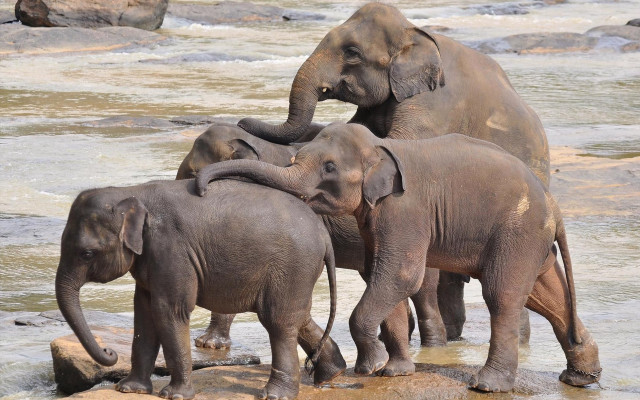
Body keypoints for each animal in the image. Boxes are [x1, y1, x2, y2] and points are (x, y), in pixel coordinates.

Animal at [55, 178, 346, 400]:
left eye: (87, 254)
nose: (109, 352)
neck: (132, 192)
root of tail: (323, 234)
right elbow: (145, 312)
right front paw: (129, 389)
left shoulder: (172, 250)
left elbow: (169, 311)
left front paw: (174, 395)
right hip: (296, 273)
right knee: (297, 317)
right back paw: (332, 374)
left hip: (293, 265)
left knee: (278, 321)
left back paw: (275, 395)